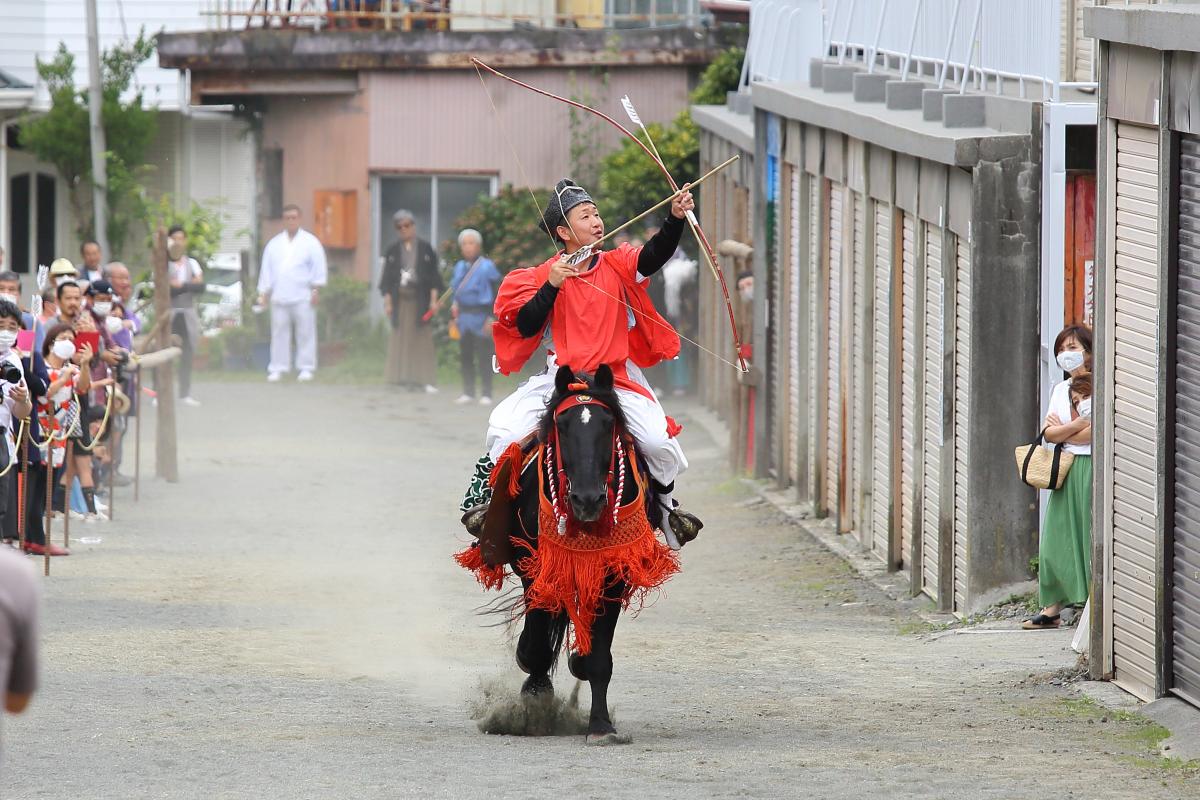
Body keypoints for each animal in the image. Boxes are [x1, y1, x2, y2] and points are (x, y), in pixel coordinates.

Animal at [506, 367, 672, 748]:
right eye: (562, 424)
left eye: (608, 424)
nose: (587, 499)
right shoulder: (535, 567)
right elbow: (537, 644)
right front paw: (534, 695)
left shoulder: (614, 572)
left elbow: (598, 656)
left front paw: (600, 724)